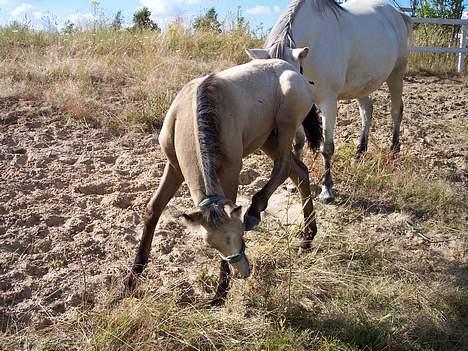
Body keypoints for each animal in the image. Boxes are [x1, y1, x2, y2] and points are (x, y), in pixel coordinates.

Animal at [247, 0, 412, 204]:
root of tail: (397, 14)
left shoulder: (328, 102)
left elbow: (326, 147)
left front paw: (327, 190)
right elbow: (298, 143)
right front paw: (294, 184)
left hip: (396, 75)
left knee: (396, 110)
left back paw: (394, 151)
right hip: (362, 85)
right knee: (367, 110)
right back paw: (359, 153)